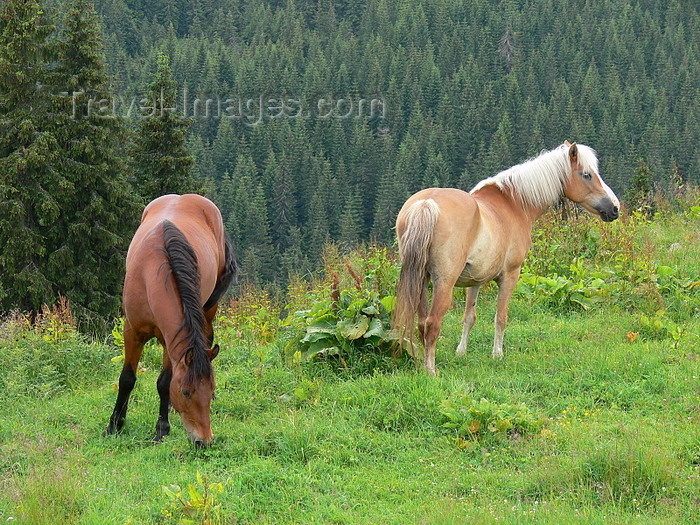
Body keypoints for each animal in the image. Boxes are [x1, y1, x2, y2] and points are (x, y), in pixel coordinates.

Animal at [102, 193, 237, 446]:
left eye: (209, 389)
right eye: (186, 392)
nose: (204, 441)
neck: (149, 276)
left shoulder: (169, 340)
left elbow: (164, 382)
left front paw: (162, 429)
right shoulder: (131, 331)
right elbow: (127, 379)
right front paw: (114, 425)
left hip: (209, 307)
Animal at [394, 141, 616, 374]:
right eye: (587, 175)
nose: (614, 208)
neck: (514, 203)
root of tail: (427, 203)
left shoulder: (475, 280)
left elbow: (469, 317)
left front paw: (461, 352)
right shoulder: (510, 275)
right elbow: (501, 318)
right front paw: (497, 355)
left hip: (421, 279)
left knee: (420, 323)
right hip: (443, 284)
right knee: (432, 323)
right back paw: (431, 370)